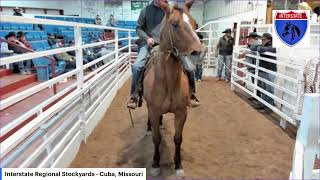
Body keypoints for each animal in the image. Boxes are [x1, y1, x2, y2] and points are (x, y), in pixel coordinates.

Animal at [142, 0, 202, 177]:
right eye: (175, 24)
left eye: (195, 23)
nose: (199, 53)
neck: (167, 82)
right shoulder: (154, 111)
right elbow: (156, 138)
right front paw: (155, 164)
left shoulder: (182, 112)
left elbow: (177, 138)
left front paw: (178, 165)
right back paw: (149, 127)